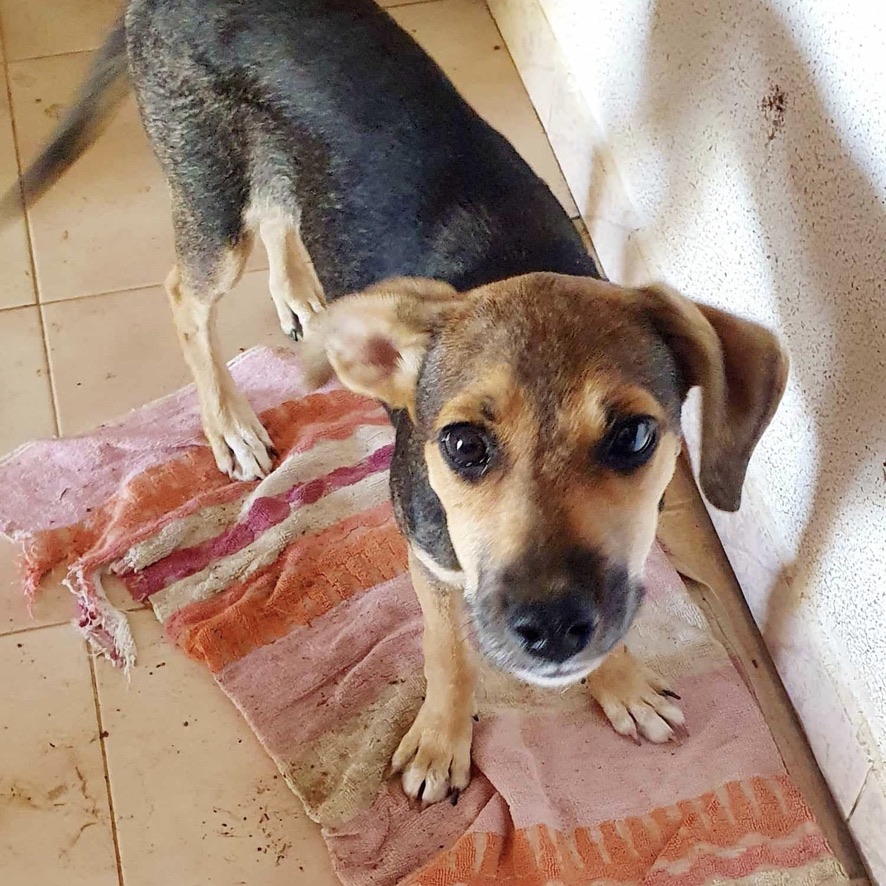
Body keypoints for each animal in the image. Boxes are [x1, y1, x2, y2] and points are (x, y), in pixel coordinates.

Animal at [308, 272, 788, 804]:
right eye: (463, 443)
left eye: (634, 435)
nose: (553, 627)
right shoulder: (428, 561)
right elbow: (447, 649)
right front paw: (439, 742)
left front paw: (625, 687)